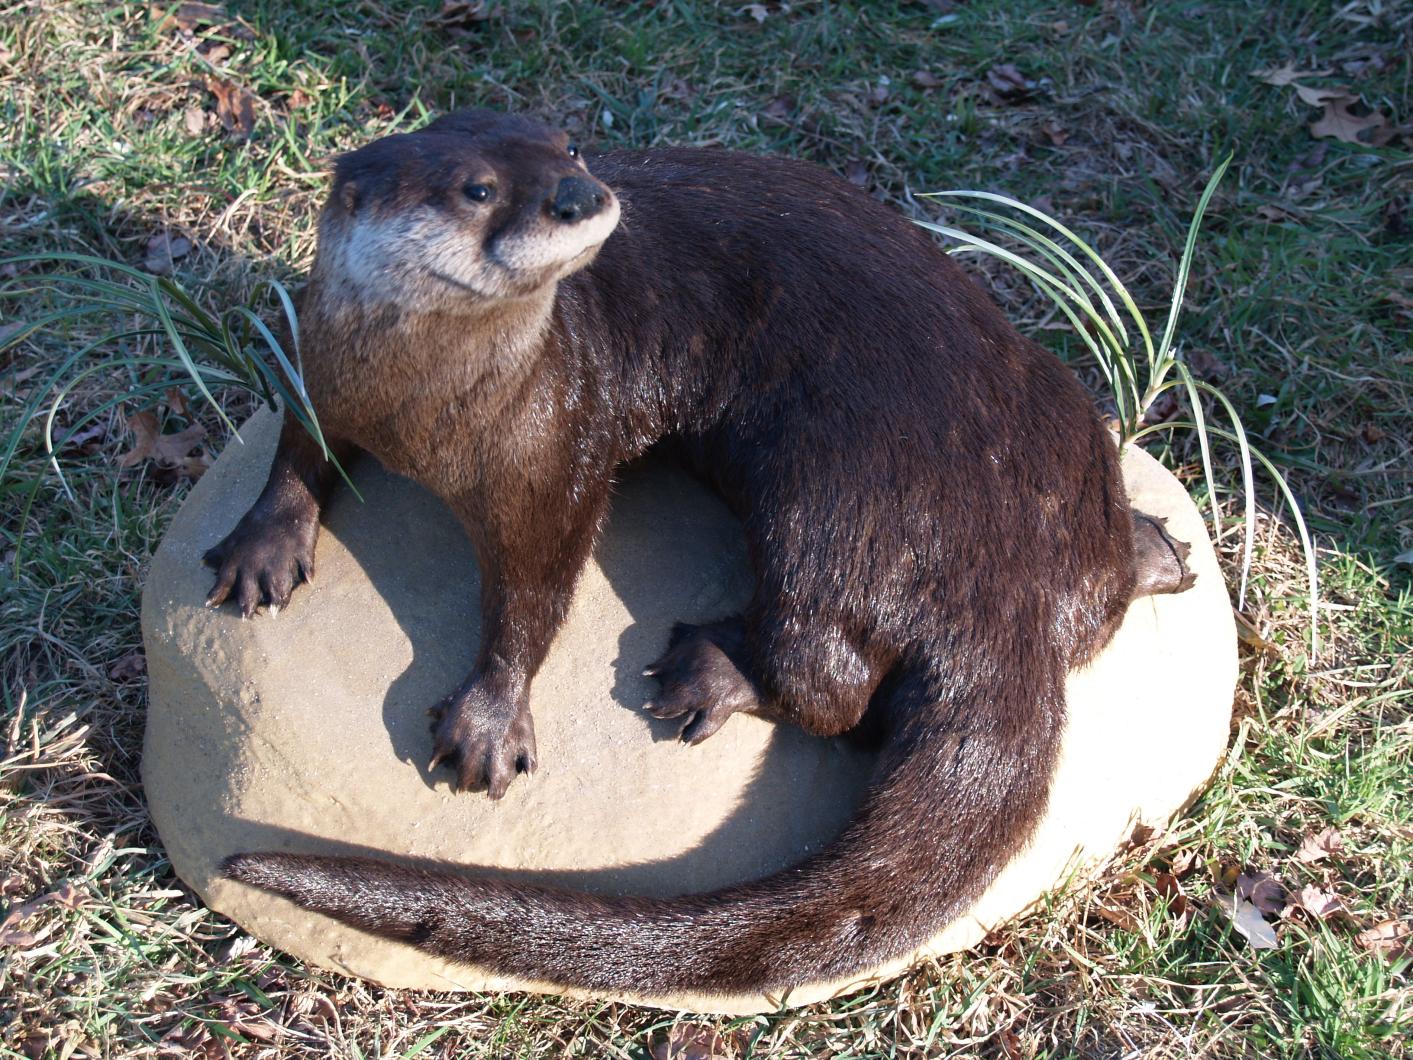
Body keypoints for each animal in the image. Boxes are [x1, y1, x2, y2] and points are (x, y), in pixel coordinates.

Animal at [209, 108, 1194, 996]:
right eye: (477, 188)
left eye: (569, 145)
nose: (579, 194)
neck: (413, 406)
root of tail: (1008, 590)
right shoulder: (312, 354)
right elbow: (294, 447)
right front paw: (262, 545)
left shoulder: (551, 449)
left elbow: (536, 586)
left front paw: (487, 721)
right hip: (1061, 426)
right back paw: (1155, 552)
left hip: (838, 513)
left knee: (827, 686)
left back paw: (710, 672)